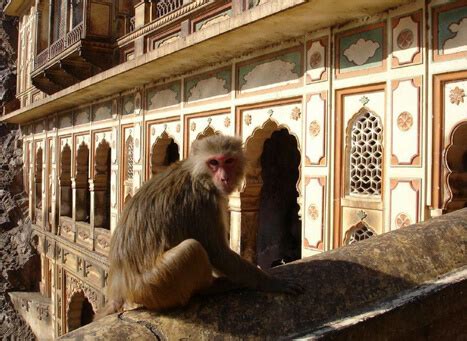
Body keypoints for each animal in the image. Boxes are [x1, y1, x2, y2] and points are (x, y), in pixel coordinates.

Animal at [97, 134, 306, 318]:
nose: (224, 178)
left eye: (228, 161)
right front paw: (270, 282)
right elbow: (217, 252)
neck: (200, 176)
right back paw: (210, 288)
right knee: (192, 248)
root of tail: (121, 286)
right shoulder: (203, 202)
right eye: (213, 163)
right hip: (154, 286)